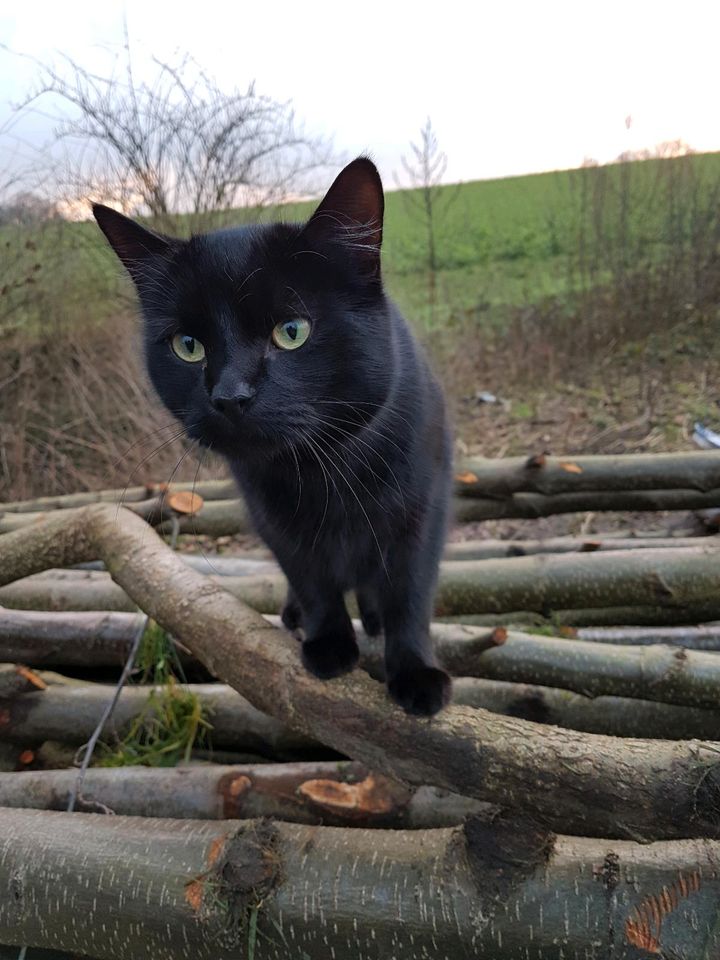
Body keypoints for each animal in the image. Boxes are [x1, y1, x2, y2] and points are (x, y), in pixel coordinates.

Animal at [93, 158, 452, 712]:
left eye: (292, 332)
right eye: (188, 345)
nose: (229, 395)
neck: (324, 470)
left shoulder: (421, 510)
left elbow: (409, 594)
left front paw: (416, 675)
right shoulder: (272, 517)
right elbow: (311, 580)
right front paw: (328, 646)